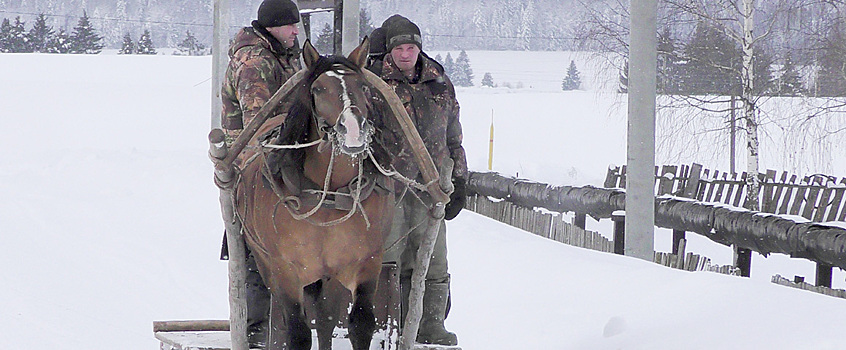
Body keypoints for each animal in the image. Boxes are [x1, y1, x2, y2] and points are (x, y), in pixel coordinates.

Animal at [234, 38, 400, 350]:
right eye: (318, 89)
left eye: (363, 86)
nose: (353, 131)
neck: (329, 194)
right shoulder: (286, 271)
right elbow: (297, 332)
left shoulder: (367, 262)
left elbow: (360, 323)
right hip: (266, 263)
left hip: (328, 275)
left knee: (324, 319)